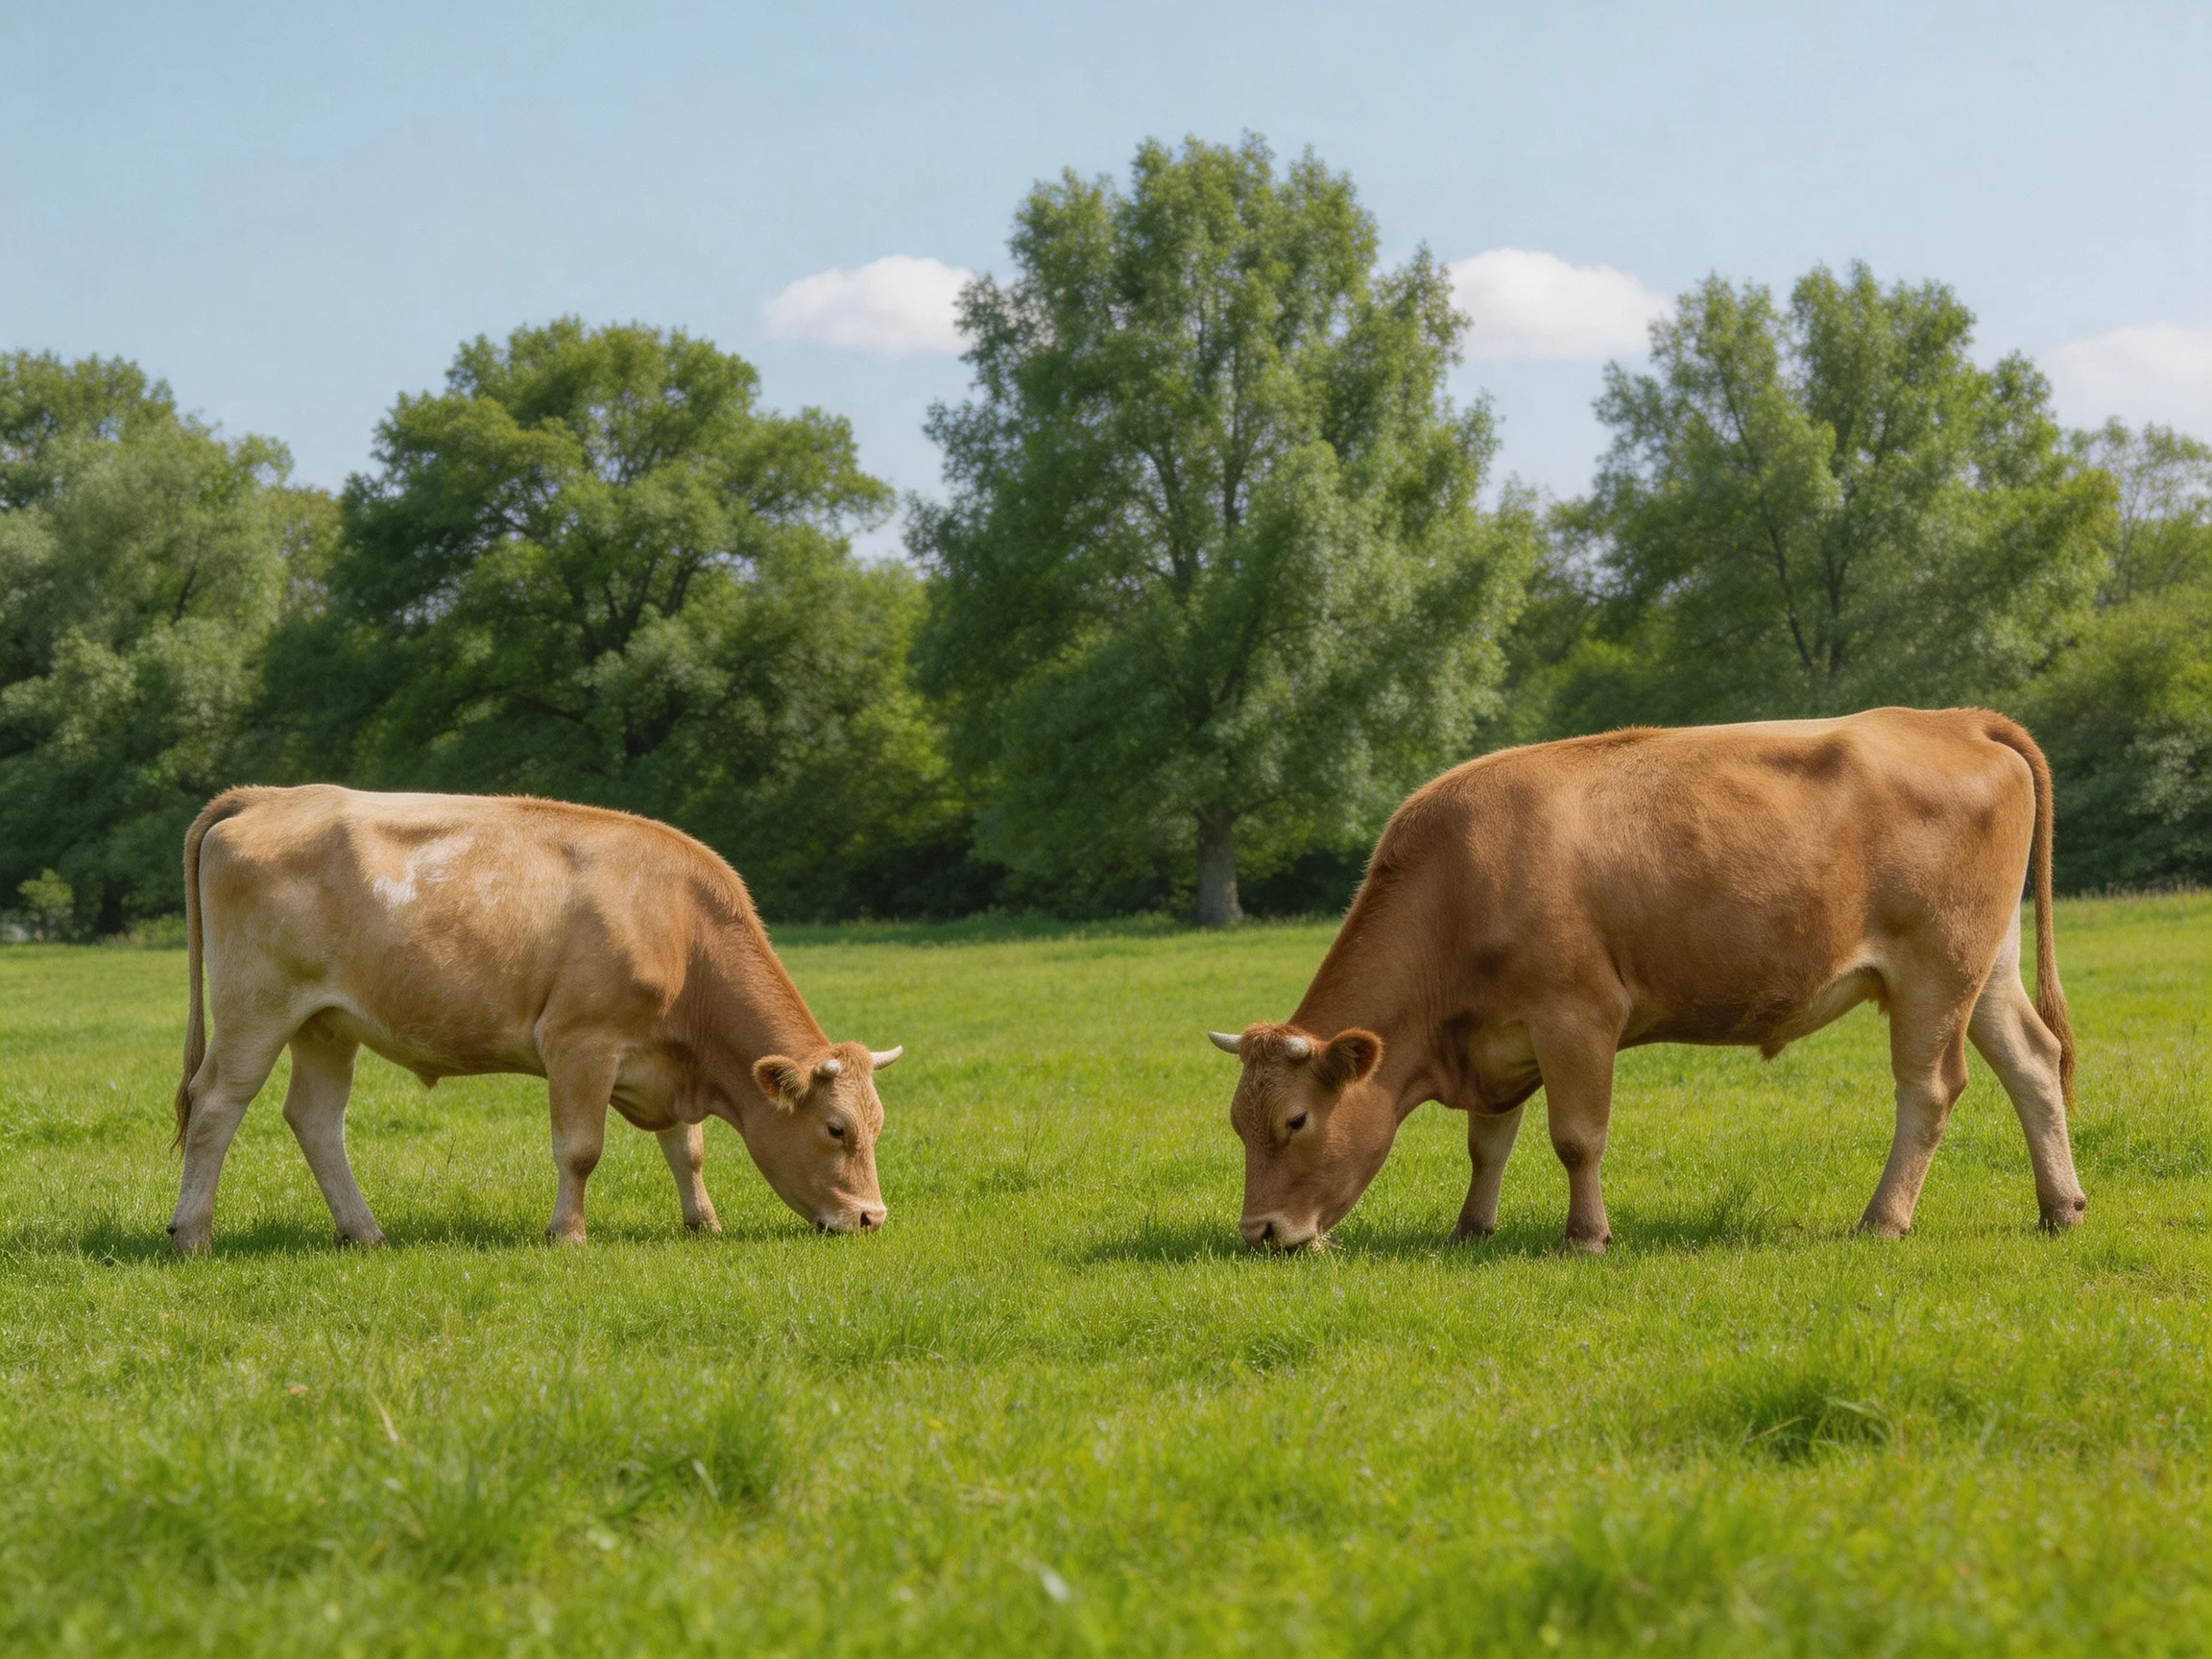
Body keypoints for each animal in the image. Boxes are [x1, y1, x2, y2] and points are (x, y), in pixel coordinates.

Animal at [167, 785, 901, 1252]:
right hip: (255, 1010)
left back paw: (365, 1233)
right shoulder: (581, 1044)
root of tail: (268, 795)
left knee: (315, 1119)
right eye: (835, 1129)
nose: (871, 1218)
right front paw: (568, 1235)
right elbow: (580, 1150)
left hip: (326, 1023)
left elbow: (686, 1149)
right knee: (216, 1106)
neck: (681, 928)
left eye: (876, 1126)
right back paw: (192, 1233)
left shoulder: (665, 1063)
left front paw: (704, 1223)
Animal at [1209, 708, 2085, 1254]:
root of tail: (1953, 719)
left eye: (1294, 1121)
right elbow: (1487, 1144)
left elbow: (1576, 1138)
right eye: (1237, 1124)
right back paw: (2060, 1207)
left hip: (1935, 973)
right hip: (1986, 967)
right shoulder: (1501, 1037)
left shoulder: (1577, 1017)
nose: (1260, 1233)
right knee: (2033, 1064)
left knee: (1929, 1090)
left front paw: (1586, 1237)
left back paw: (1883, 1220)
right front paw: (1469, 1229)